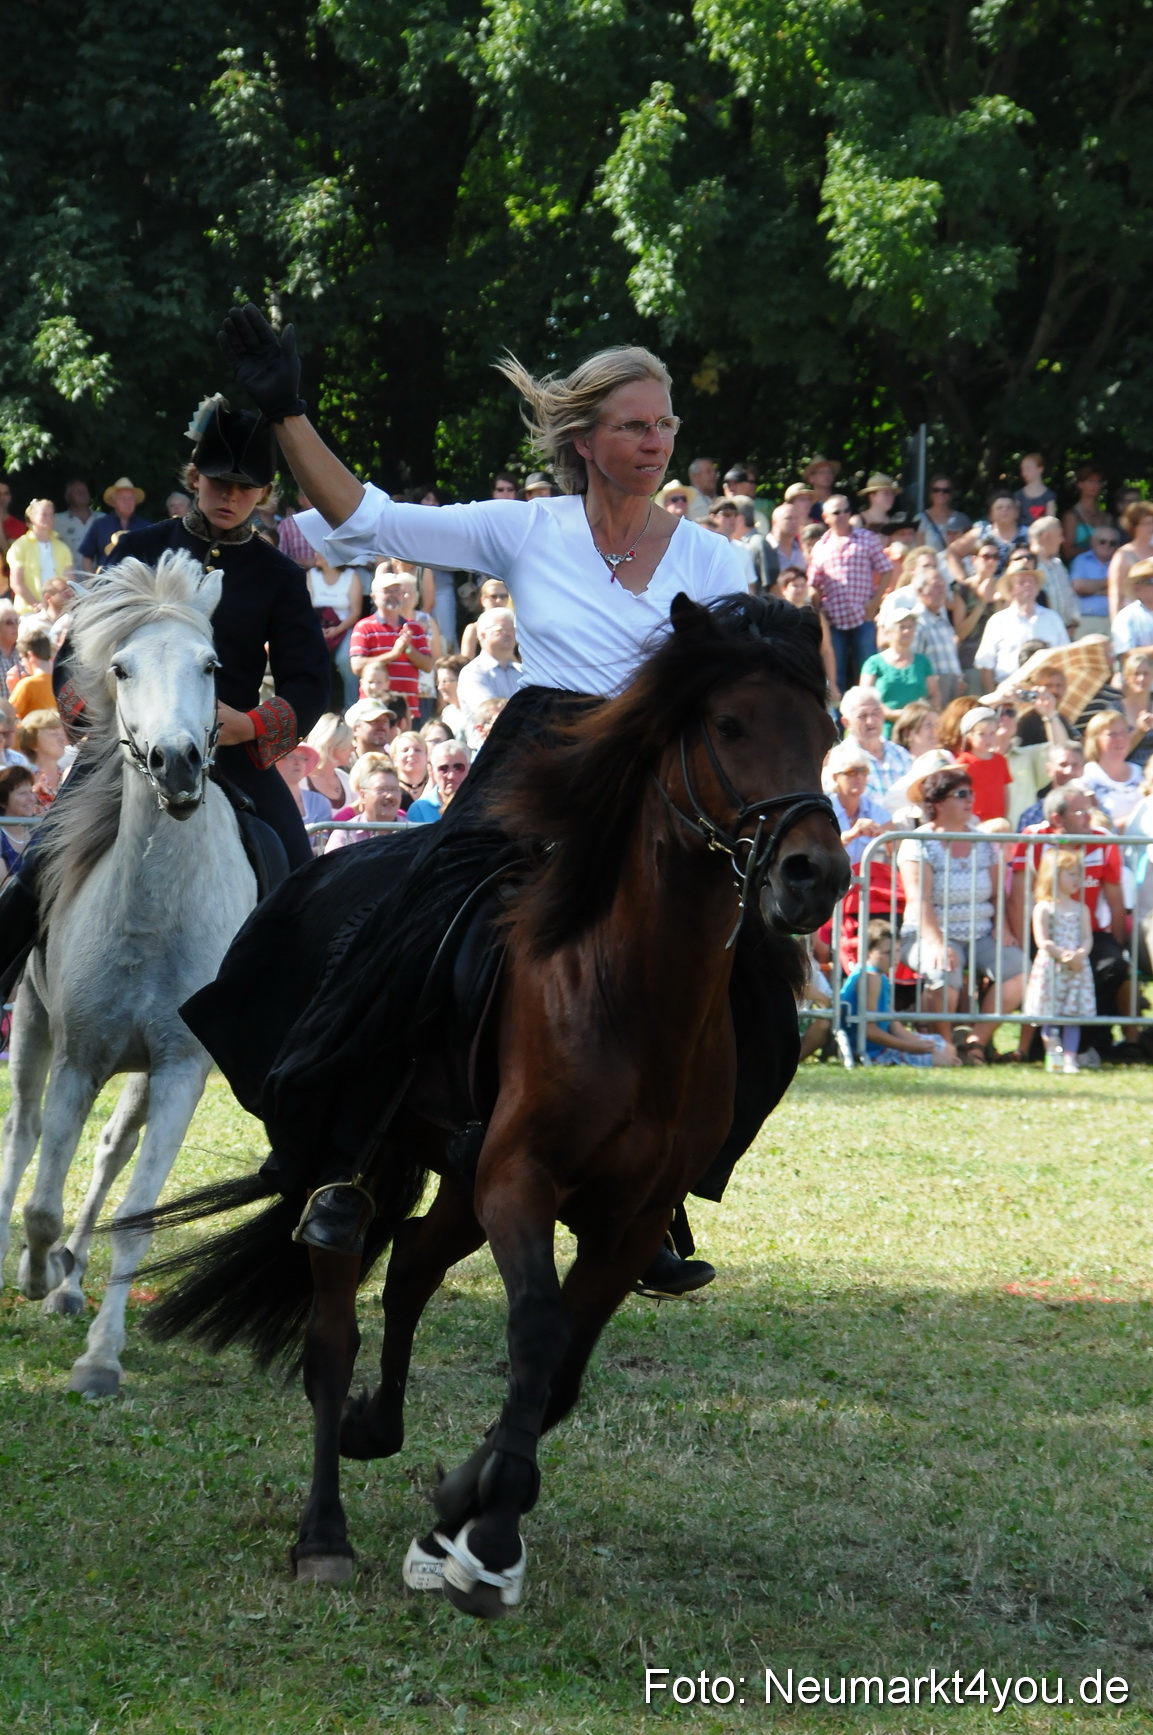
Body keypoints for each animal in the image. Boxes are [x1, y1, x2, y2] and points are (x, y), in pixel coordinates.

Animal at [0, 550, 257, 1396]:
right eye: (120, 666)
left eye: (211, 665)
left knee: (111, 1148)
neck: (155, 910)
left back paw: (74, 1281)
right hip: (32, 1028)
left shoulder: (178, 1069)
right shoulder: (78, 1058)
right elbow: (42, 1200)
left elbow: (137, 1216)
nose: (176, 763)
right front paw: (36, 1270)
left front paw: (100, 1353)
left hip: (143, 1070)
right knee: (20, 1136)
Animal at [142, 590, 849, 1613]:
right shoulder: (522, 1178)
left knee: (408, 1266)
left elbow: (561, 1369)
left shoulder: (629, 1217)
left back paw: (382, 1434)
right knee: (332, 1326)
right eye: (728, 724)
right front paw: (491, 1529)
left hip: (458, 1175)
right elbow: (539, 1329)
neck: (631, 992)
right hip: (349, 1153)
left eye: (825, 731)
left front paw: (459, 1513)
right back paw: (323, 1531)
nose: (814, 874)